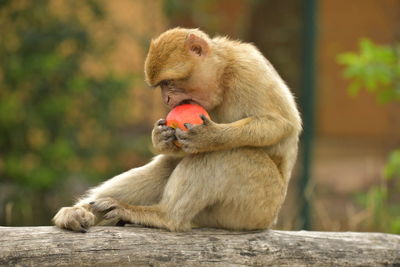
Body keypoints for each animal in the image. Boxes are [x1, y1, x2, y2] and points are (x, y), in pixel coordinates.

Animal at [54, 26, 304, 232]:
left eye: (169, 83)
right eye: (161, 86)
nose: (165, 99)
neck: (223, 74)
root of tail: (269, 220)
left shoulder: (249, 70)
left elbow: (279, 124)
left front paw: (210, 137)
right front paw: (160, 138)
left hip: (256, 206)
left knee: (229, 154)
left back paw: (164, 217)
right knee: (168, 165)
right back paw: (83, 211)